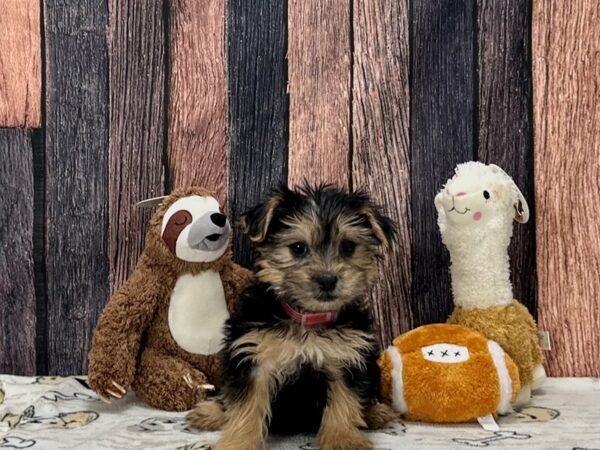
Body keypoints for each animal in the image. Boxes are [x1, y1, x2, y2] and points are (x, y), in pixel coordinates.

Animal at [188, 185, 398, 448]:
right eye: (298, 248)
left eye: (348, 247)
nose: (328, 280)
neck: (306, 318)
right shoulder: (254, 356)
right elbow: (246, 406)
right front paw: (239, 442)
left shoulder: (346, 357)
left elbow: (345, 401)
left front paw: (342, 439)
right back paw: (213, 412)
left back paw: (375, 412)